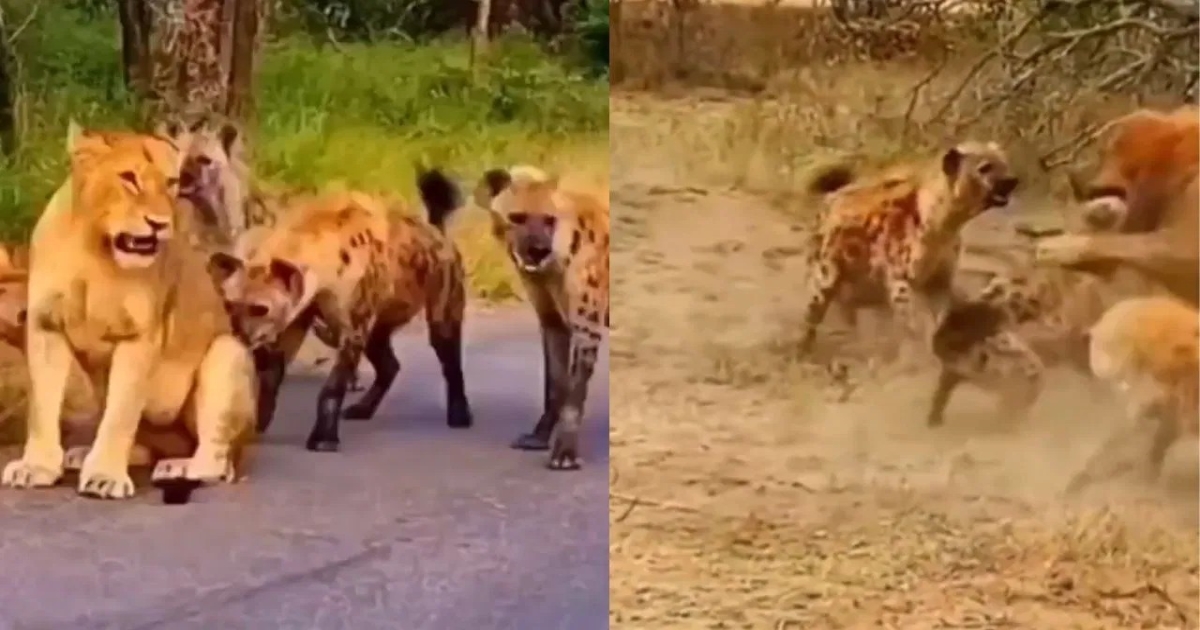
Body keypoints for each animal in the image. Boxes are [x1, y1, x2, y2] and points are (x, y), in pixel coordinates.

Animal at [0, 121, 258, 503]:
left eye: (170, 182)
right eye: (128, 178)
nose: (159, 223)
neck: (94, 250)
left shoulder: (139, 336)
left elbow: (121, 413)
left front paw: (105, 476)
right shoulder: (46, 326)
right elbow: (43, 407)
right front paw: (36, 467)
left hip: (227, 352)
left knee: (218, 460)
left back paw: (179, 467)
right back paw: (84, 454)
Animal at [208, 167, 472, 452]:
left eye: (260, 308)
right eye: (228, 303)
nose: (237, 334)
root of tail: (438, 232)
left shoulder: (352, 327)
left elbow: (333, 385)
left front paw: (323, 438)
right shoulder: (297, 319)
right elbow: (270, 375)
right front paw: (256, 425)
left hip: (442, 301)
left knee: (448, 353)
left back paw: (459, 414)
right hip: (379, 324)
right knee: (388, 362)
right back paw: (362, 409)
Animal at [473, 165, 609, 471]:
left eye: (549, 220)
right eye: (517, 218)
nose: (538, 250)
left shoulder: (587, 323)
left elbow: (575, 389)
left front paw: (565, 453)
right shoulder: (552, 318)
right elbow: (555, 382)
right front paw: (538, 437)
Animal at [798, 142, 1020, 367]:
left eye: (1004, 163)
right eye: (985, 168)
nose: (1012, 180)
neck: (943, 226)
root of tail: (830, 199)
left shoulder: (939, 279)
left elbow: (935, 319)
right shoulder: (901, 278)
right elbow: (912, 322)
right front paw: (917, 358)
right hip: (827, 270)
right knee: (814, 309)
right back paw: (805, 353)